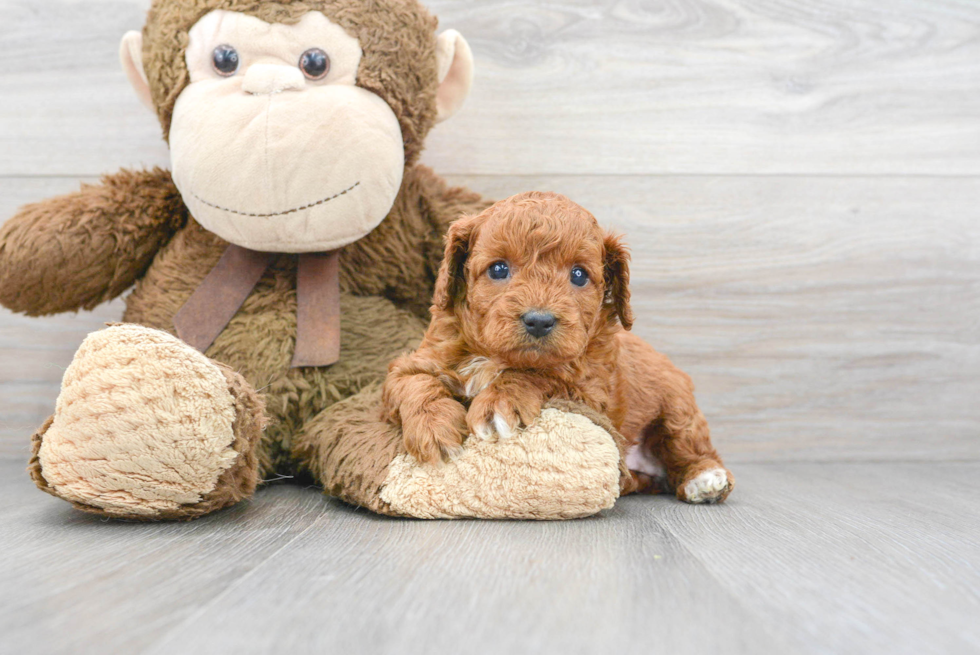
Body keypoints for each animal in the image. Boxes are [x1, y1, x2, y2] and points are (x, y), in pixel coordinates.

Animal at [378, 192, 732, 504]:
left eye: (578, 275)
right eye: (498, 269)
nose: (539, 320)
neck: (495, 355)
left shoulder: (592, 390)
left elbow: (541, 374)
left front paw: (499, 402)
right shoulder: (423, 358)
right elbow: (414, 382)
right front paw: (433, 428)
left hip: (677, 406)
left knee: (688, 445)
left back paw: (705, 479)